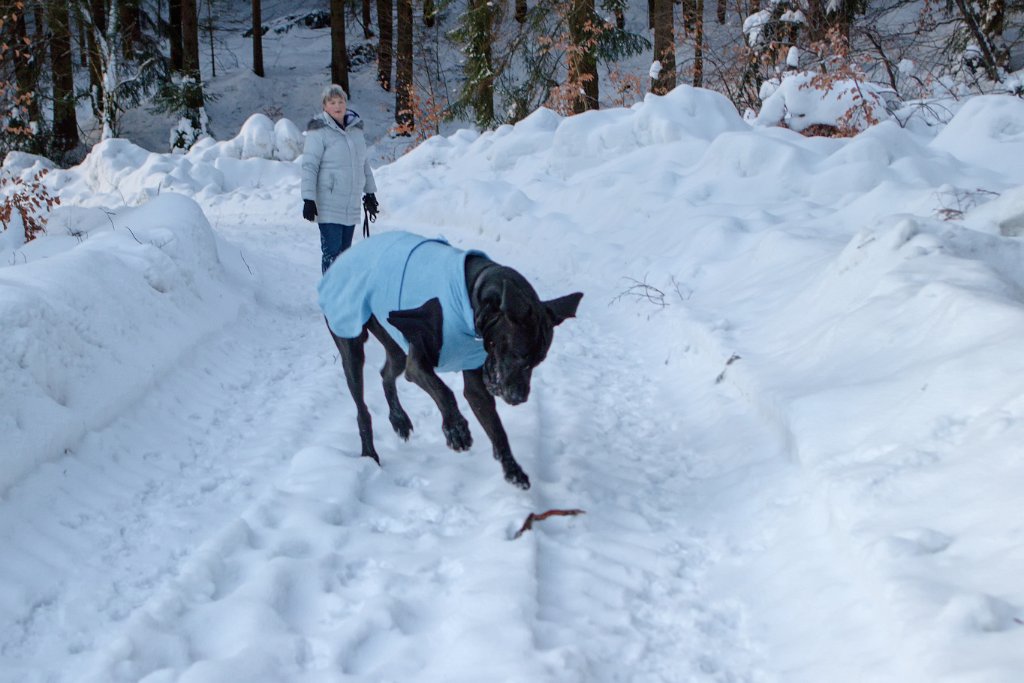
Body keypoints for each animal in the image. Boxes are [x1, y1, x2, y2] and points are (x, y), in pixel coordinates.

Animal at [315, 232, 581, 489]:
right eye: (517, 354)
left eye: (538, 361)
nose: (518, 398)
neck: (475, 297)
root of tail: (340, 260)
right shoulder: (418, 365)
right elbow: (443, 391)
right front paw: (456, 430)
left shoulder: (476, 381)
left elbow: (495, 427)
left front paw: (512, 469)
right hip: (350, 339)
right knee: (362, 407)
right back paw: (370, 452)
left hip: (395, 341)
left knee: (386, 373)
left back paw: (399, 419)